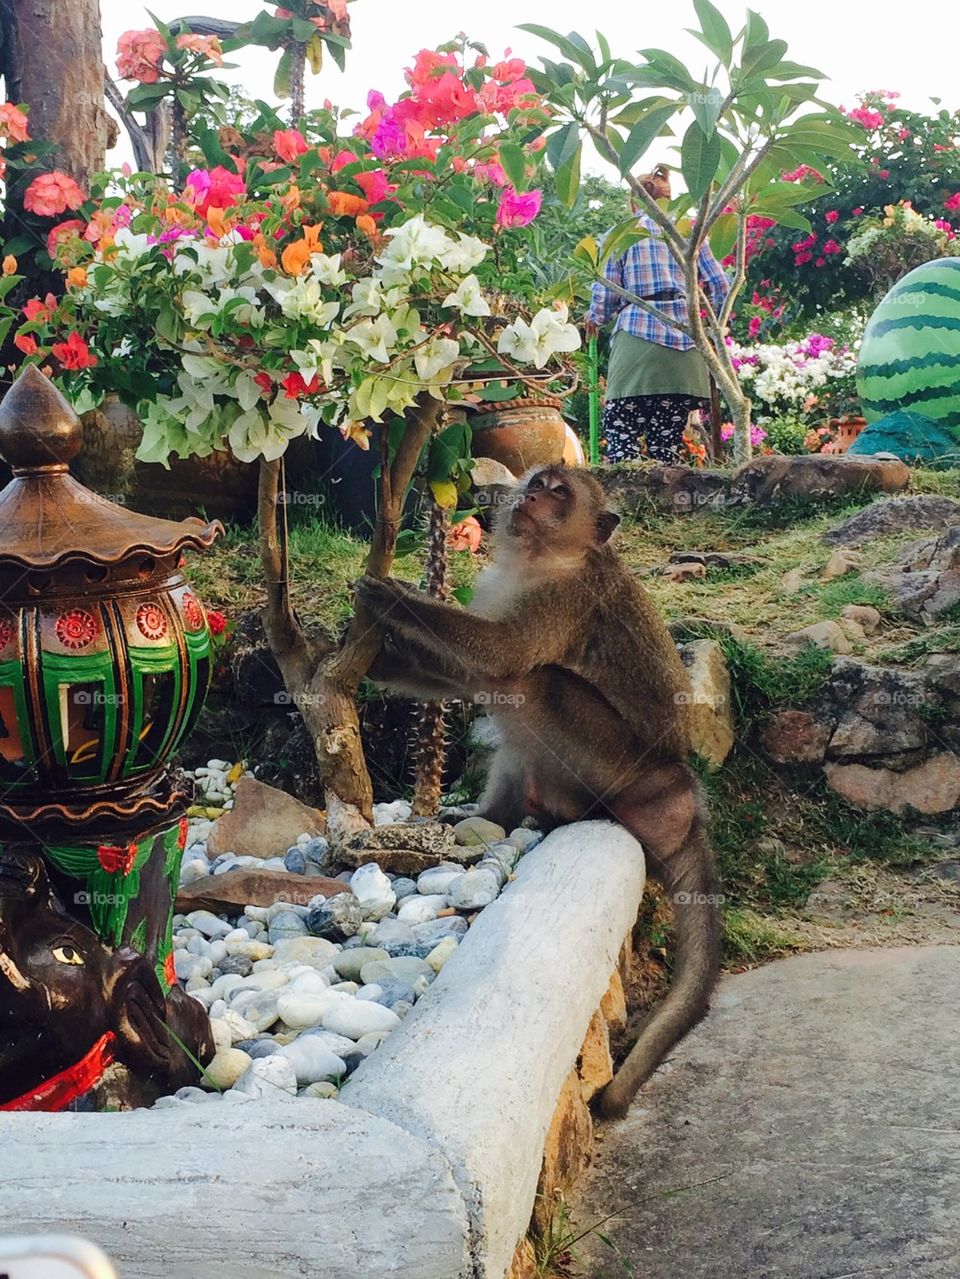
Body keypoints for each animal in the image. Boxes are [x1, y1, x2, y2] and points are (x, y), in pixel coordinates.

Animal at [356, 464, 720, 1118]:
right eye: (538, 481)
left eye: (559, 493)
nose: (528, 496)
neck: (542, 559)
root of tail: (681, 797)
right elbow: (467, 675)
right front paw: (363, 656)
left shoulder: (565, 599)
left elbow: (503, 656)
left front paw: (390, 596)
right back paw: (490, 818)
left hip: (619, 768)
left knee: (536, 678)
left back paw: (559, 813)